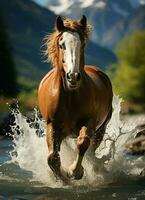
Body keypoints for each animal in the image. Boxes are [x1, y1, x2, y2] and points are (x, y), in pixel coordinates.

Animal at [38, 15, 112, 181]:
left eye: (82, 44)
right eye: (61, 45)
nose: (73, 76)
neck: (70, 97)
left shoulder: (89, 122)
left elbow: (83, 143)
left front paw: (75, 171)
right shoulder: (52, 125)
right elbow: (52, 157)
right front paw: (62, 177)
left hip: (101, 128)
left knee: (91, 150)